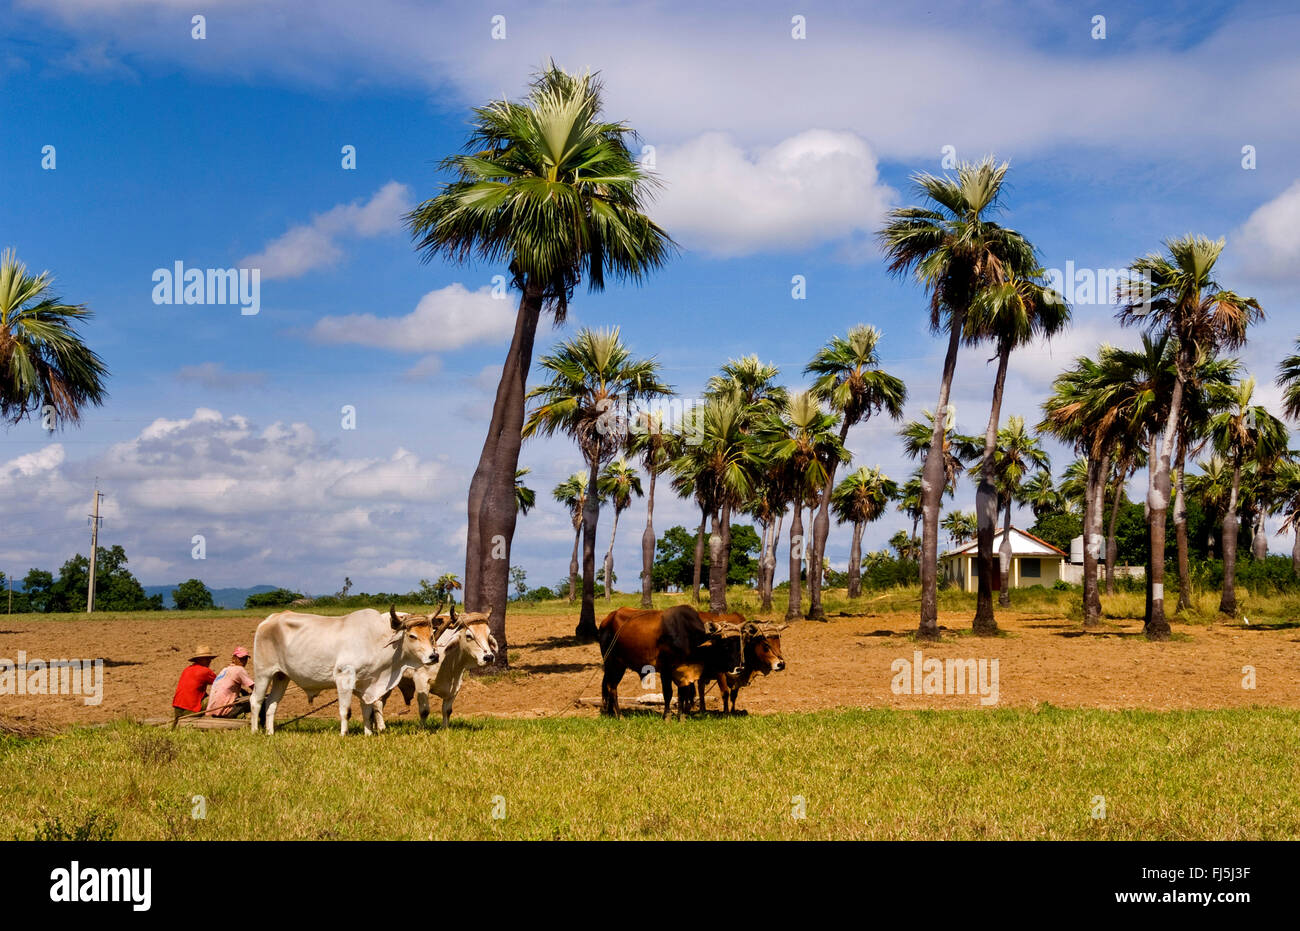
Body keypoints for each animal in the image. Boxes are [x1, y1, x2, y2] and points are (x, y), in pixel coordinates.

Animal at [250, 608, 444, 738]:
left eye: (430, 634)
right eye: (412, 636)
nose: (433, 656)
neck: (375, 641)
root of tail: (271, 619)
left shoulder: (367, 683)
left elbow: (367, 710)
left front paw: (368, 733)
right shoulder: (344, 677)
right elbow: (346, 710)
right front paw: (344, 734)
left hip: (281, 676)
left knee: (272, 703)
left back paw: (270, 732)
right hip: (263, 673)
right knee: (256, 700)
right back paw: (255, 731)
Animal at [592, 603, 738, 717]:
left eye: (737, 644)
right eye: (725, 646)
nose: (738, 668)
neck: (685, 634)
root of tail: (607, 619)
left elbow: (683, 694)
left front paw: (681, 715)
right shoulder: (665, 669)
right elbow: (668, 693)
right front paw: (667, 716)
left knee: (608, 686)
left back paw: (611, 713)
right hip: (615, 665)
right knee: (611, 687)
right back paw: (619, 715)